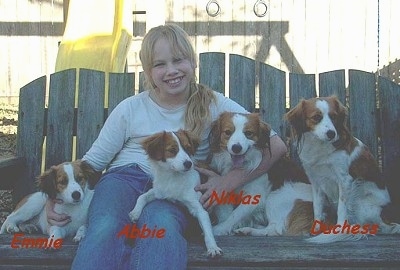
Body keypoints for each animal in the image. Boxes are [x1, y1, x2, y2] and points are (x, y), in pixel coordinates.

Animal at [128, 130, 222, 258]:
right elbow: (142, 196)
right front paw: (135, 212)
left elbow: (208, 231)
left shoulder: (199, 208)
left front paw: (213, 247)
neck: (173, 177)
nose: (188, 164)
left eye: (188, 148)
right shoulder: (159, 191)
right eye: (172, 150)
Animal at [286, 95, 398, 243]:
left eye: (333, 116)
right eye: (316, 117)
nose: (331, 133)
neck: (321, 146)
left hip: (361, 203)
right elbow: (317, 207)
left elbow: (342, 208)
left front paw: (338, 231)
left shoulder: (345, 180)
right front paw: (316, 230)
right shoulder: (316, 182)